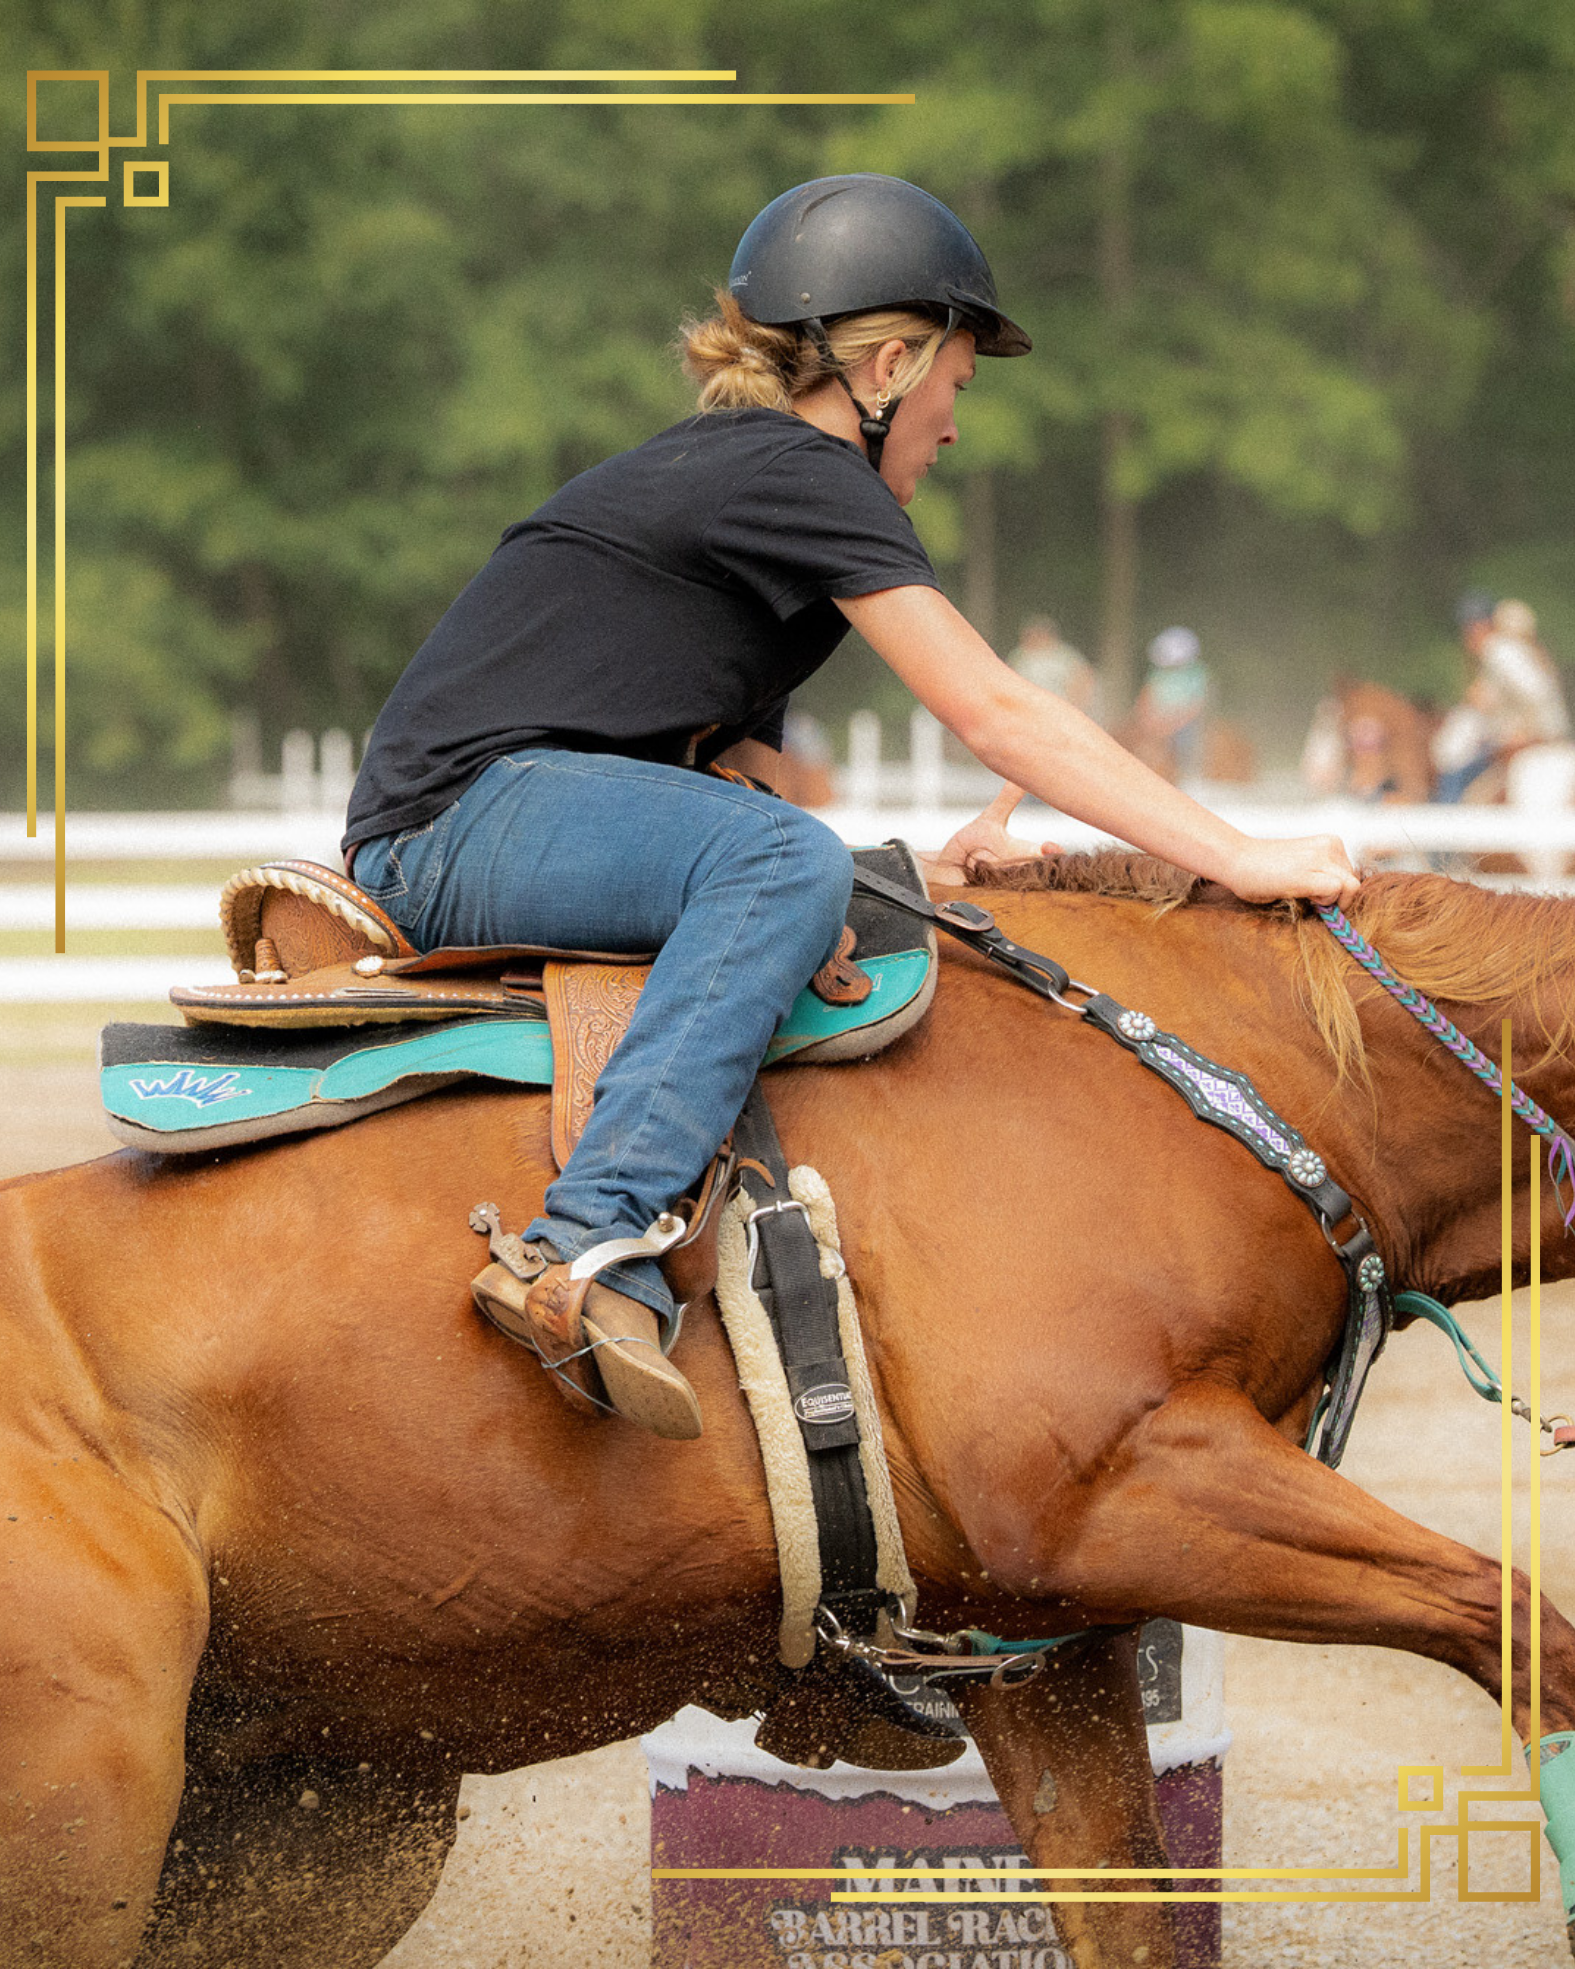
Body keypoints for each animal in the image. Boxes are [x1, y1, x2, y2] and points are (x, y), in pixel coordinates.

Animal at [4, 860, 1575, 1969]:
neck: (1247, 1077)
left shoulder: (1050, 1649)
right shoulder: (1122, 1492)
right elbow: (1520, 1630)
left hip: (316, 1819)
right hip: (90, 1810)